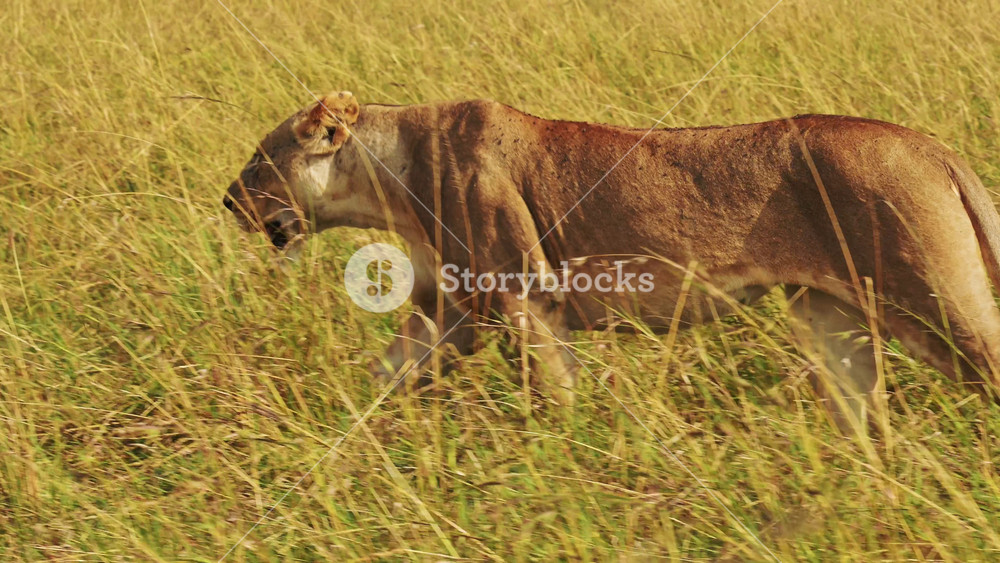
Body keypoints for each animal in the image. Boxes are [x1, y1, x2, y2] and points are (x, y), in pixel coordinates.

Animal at [224, 91, 1000, 431]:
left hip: (933, 297)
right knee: (865, 417)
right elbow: (385, 375)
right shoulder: (452, 314)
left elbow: (552, 395)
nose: (227, 201)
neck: (388, 185)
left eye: (260, 161)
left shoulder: (526, 296)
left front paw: (557, 460)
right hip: (832, 318)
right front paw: (331, 434)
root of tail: (934, 148)